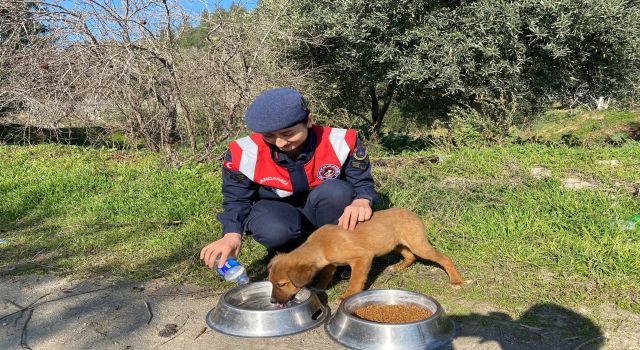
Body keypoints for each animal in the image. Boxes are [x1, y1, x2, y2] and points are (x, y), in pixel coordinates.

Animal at [268, 208, 462, 304]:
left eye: (282, 284)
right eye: (271, 282)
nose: (272, 301)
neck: (320, 246)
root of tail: (414, 214)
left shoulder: (363, 257)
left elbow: (355, 280)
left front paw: (347, 295)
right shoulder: (331, 264)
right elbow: (325, 275)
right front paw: (319, 287)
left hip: (419, 245)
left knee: (444, 258)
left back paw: (456, 280)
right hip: (397, 245)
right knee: (410, 257)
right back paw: (396, 267)